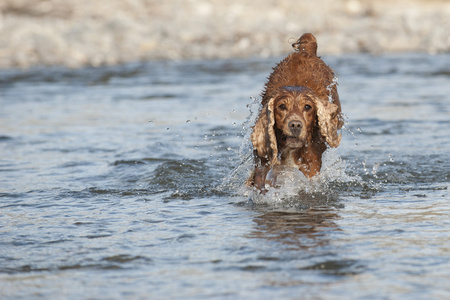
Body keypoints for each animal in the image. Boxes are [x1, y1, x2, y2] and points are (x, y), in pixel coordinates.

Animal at [248, 32, 342, 191]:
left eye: (308, 107)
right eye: (282, 107)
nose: (295, 125)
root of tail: (306, 51)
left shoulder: (311, 164)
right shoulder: (264, 159)